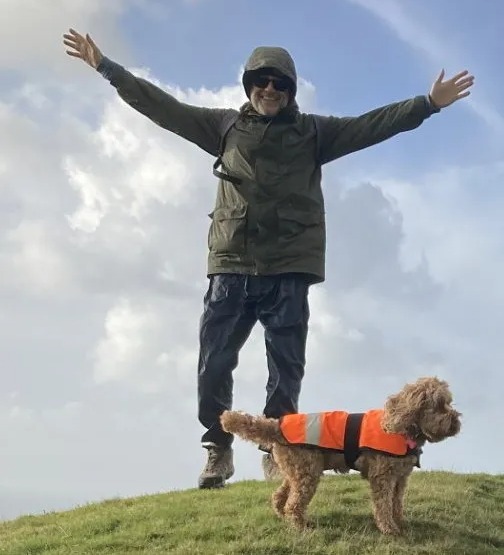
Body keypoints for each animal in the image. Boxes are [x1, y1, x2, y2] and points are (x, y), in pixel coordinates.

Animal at [220, 378, 460, 536]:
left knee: (279, 496)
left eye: (449, 402)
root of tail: (277, 426)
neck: (402, 428)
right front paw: (389, 528)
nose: (457, 422)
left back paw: (284, 517)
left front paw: (400, 522)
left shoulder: (400, 479)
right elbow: (383, 505)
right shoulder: (383, 478)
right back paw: (300, 526)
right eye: (439, 405)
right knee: (293, 504)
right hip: (307, 474)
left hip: (297, 471)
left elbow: (396, 503)